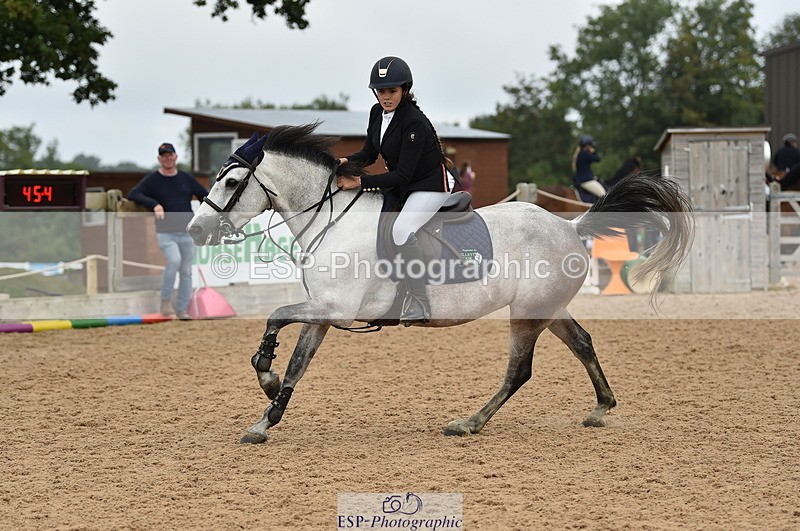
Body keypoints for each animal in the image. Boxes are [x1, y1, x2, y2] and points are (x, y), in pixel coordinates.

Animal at [187, 124, 693, 444]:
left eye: (231, 181)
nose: (194, 230)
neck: (331, 220)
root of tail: (571, 225)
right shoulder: (324, 312)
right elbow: (297, 365)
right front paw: (266, 414)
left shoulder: (334, 308)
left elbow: (275, 319)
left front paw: (265, 376)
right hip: (547, 309)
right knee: (583, 343)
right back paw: (601, 407)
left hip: (527, 314)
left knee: (519, 370)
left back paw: (469, 423)